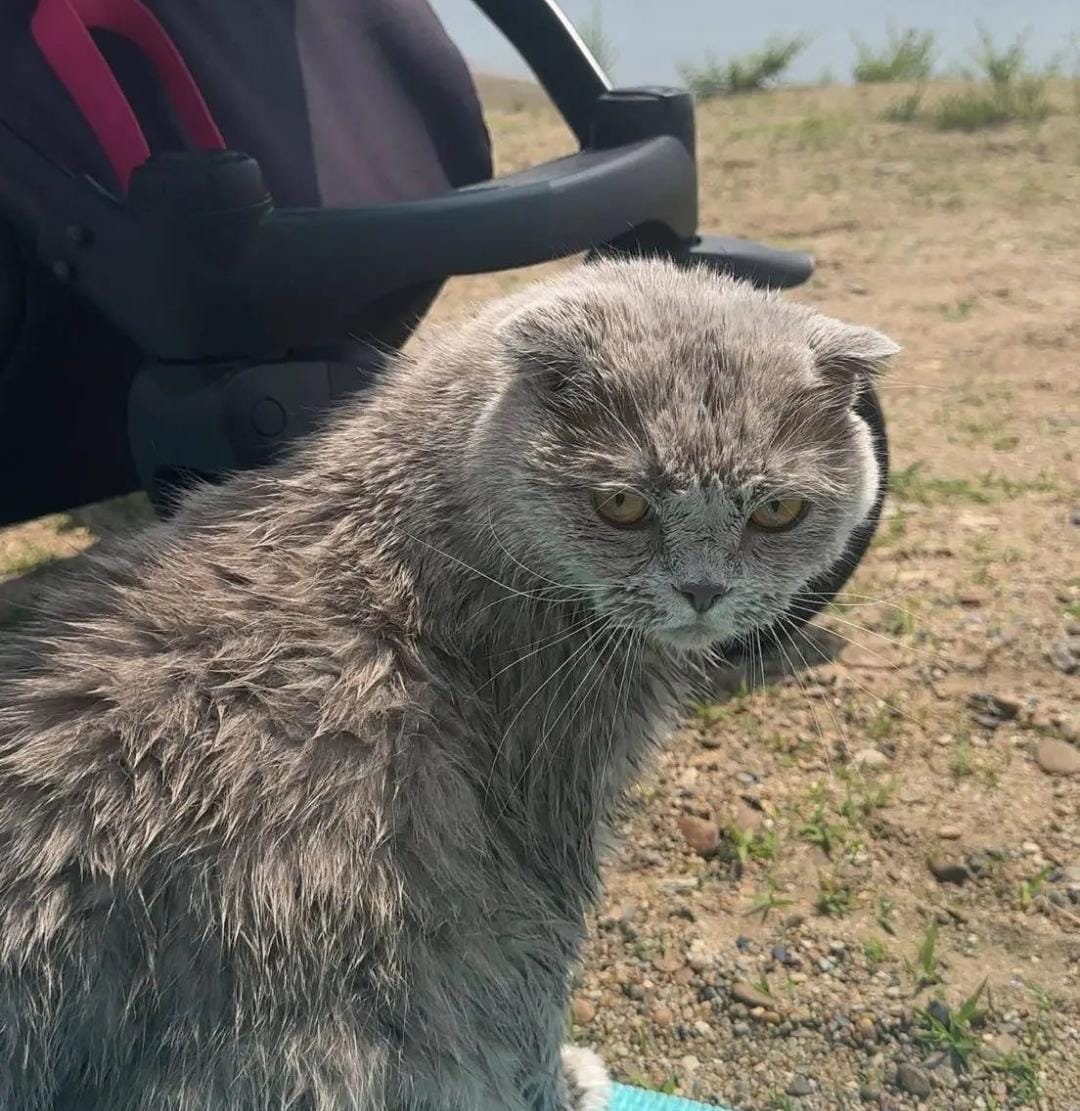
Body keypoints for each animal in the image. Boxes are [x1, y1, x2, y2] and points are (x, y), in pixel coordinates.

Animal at [0, 255, 893, 1106]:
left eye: (776, 511)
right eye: (621, 504)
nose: (703, 590)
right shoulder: (544, 821)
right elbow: (533, 998)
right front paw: (565, 1085)